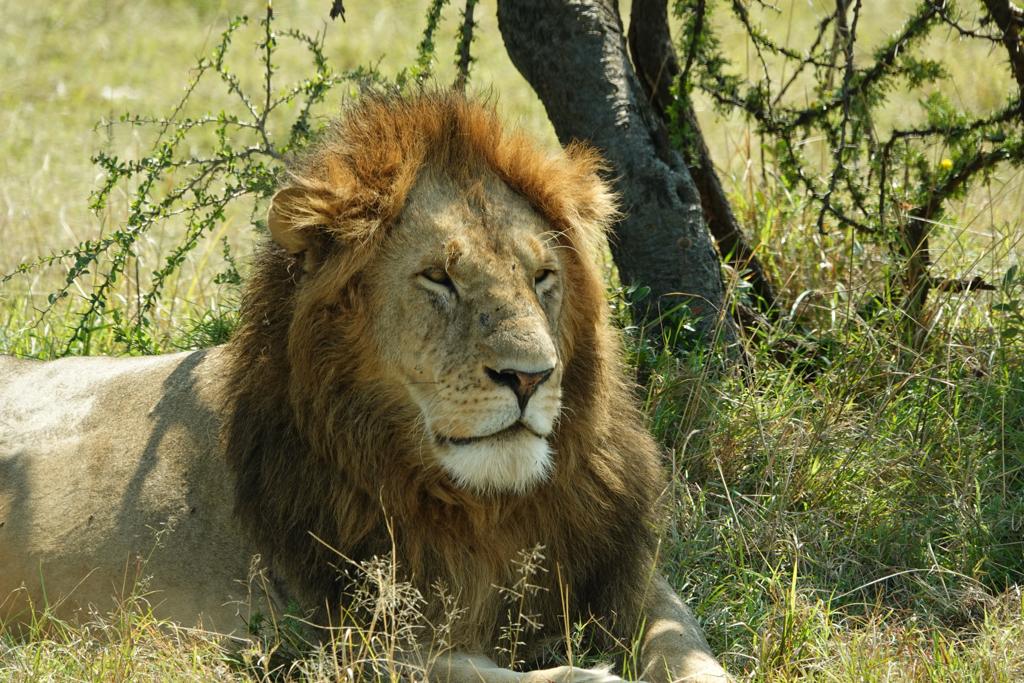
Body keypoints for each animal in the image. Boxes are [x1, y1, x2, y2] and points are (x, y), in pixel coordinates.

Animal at [4, 92, 733, 683]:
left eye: (543, 277)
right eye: (439, 278)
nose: (529, 375)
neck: (485, 508)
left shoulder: (624, 570)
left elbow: (685, 643)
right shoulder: (331, 634)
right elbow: (458, 669)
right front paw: (583, 673)